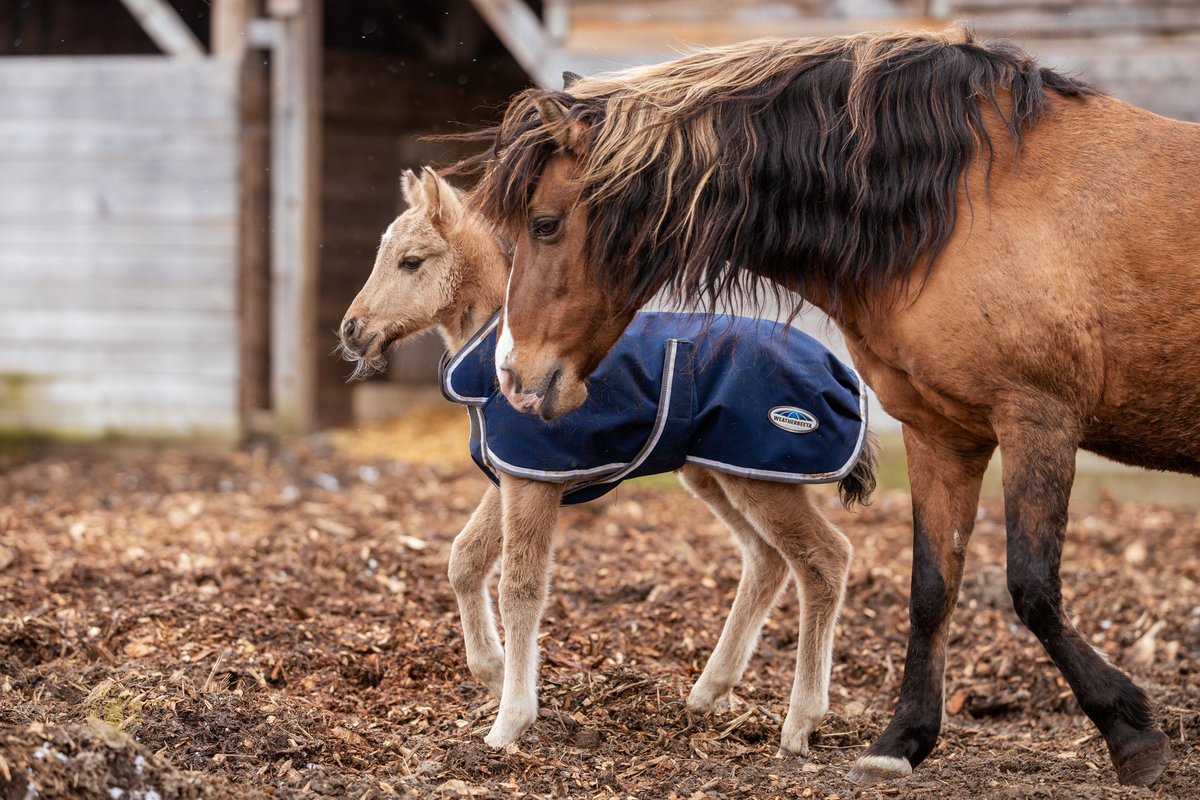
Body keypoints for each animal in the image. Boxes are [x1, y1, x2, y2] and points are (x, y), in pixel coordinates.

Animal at [337, 167, 879, 752]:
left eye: (411, 261)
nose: (351, 329)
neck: (493, 362)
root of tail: (840, 372)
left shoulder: (536, 480)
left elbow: (520, 587)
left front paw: (510, 722)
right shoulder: (511, 473)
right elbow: (464, 558)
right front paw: (492, 671)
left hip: (766, 478)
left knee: (825, 559)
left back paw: (800, 722)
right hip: (719, 475)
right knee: (767, 560)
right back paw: (708, 692)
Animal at [454, 26, 1199, 786]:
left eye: (546, 224)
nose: (516, 376)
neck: (964, 202)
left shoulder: (1037, 419)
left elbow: (1032, 587)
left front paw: (1130, 731)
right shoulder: (941, 432)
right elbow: (932, 586)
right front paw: (902, 740)